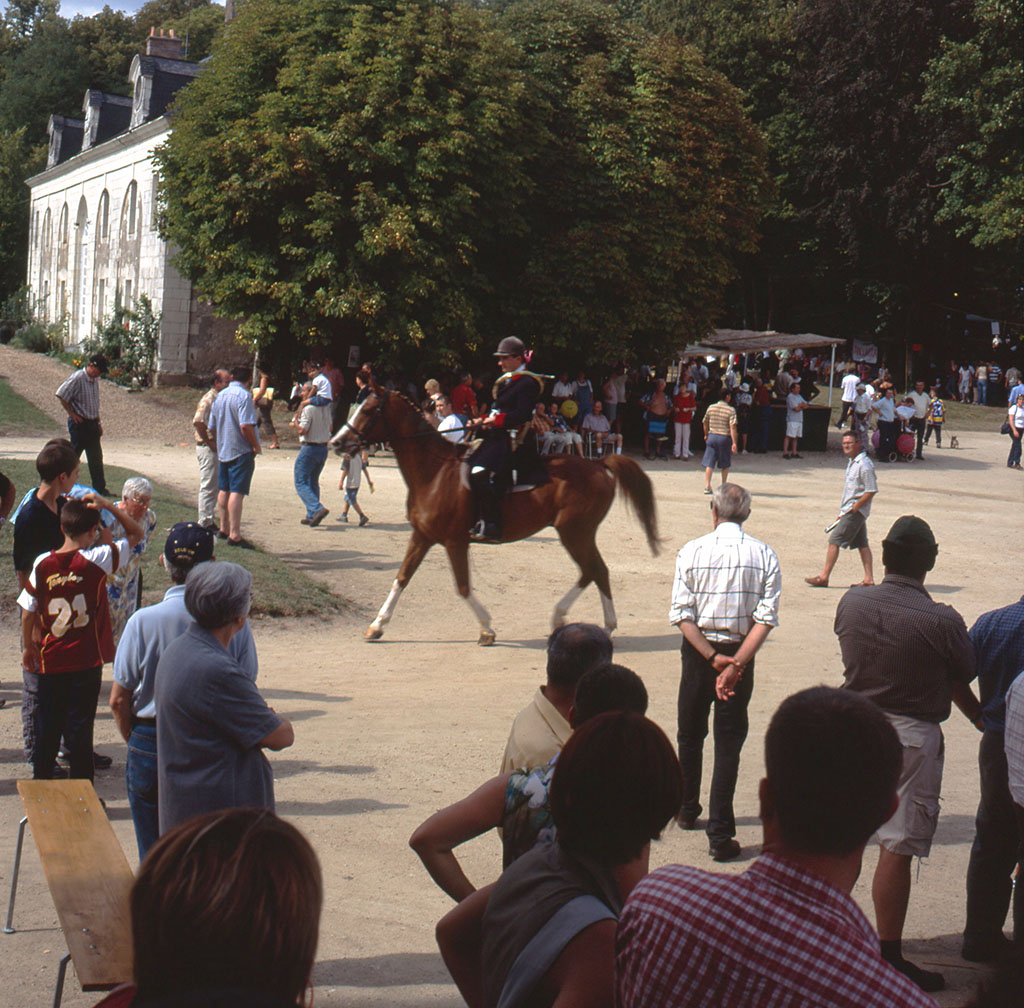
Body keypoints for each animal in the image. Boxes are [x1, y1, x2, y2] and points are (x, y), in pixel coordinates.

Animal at [332, 385, 660, 644]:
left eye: (369, 410)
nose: (336, 443)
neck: (435, 472)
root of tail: (598, 464)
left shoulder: (455, 541)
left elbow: (463, 586)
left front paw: (487, 628)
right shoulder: (422, 536)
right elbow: (402, 577)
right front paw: (377, 625)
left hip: (575, 533)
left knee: (595, 571)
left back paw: (593, 624)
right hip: (576, 533)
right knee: (593, 572)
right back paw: (577, 621)